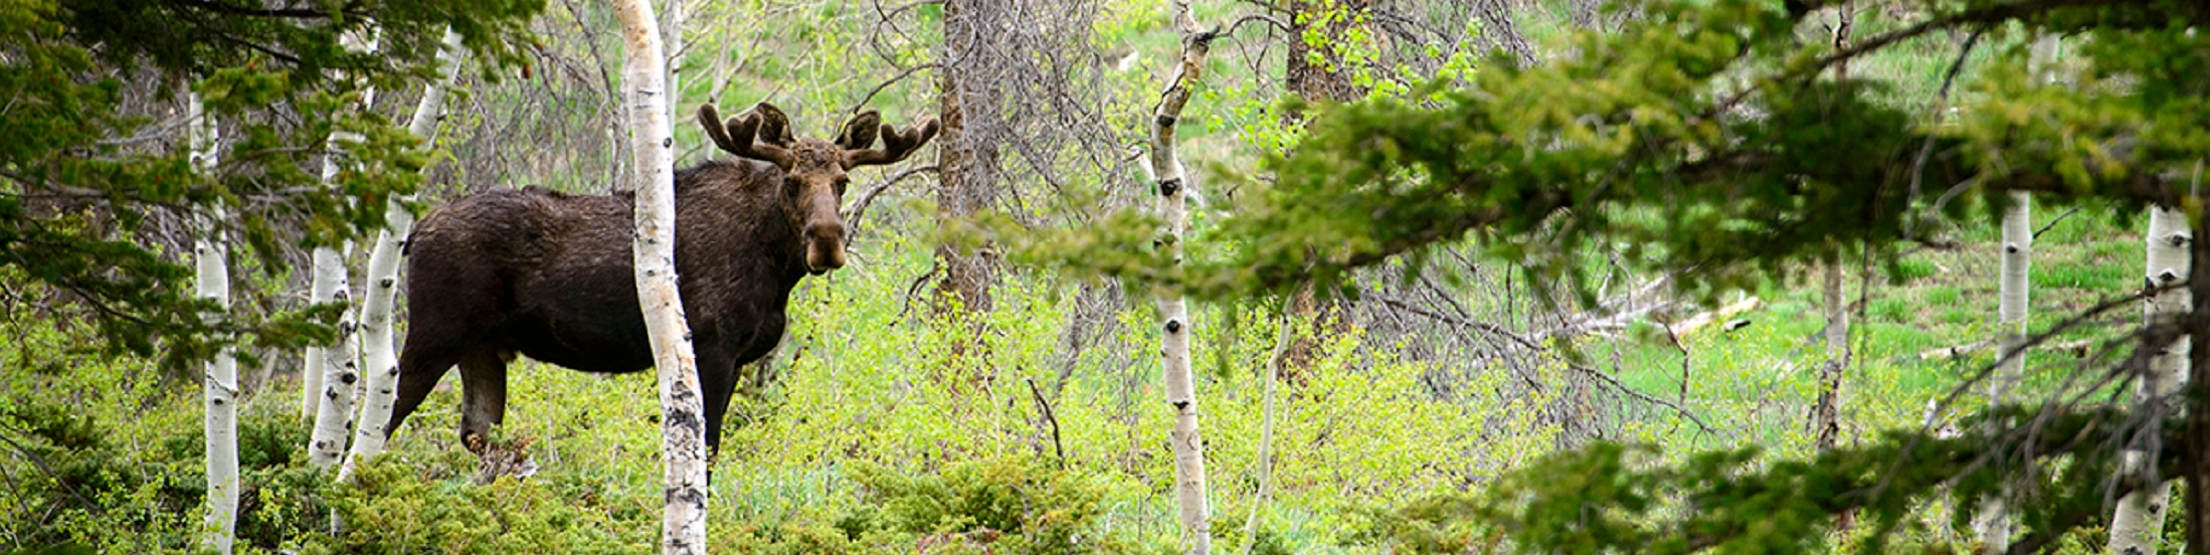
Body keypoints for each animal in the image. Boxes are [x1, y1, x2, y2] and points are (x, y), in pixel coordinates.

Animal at [384, 101, 937, 457]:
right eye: (792, 181)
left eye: (842, 182)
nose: (826, 240)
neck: (777, 270)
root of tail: (416, 233)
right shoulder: (712, 348)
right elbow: (705, 450)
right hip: (434, 334)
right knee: (377, 415)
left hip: (482, 349)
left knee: (478, 435)